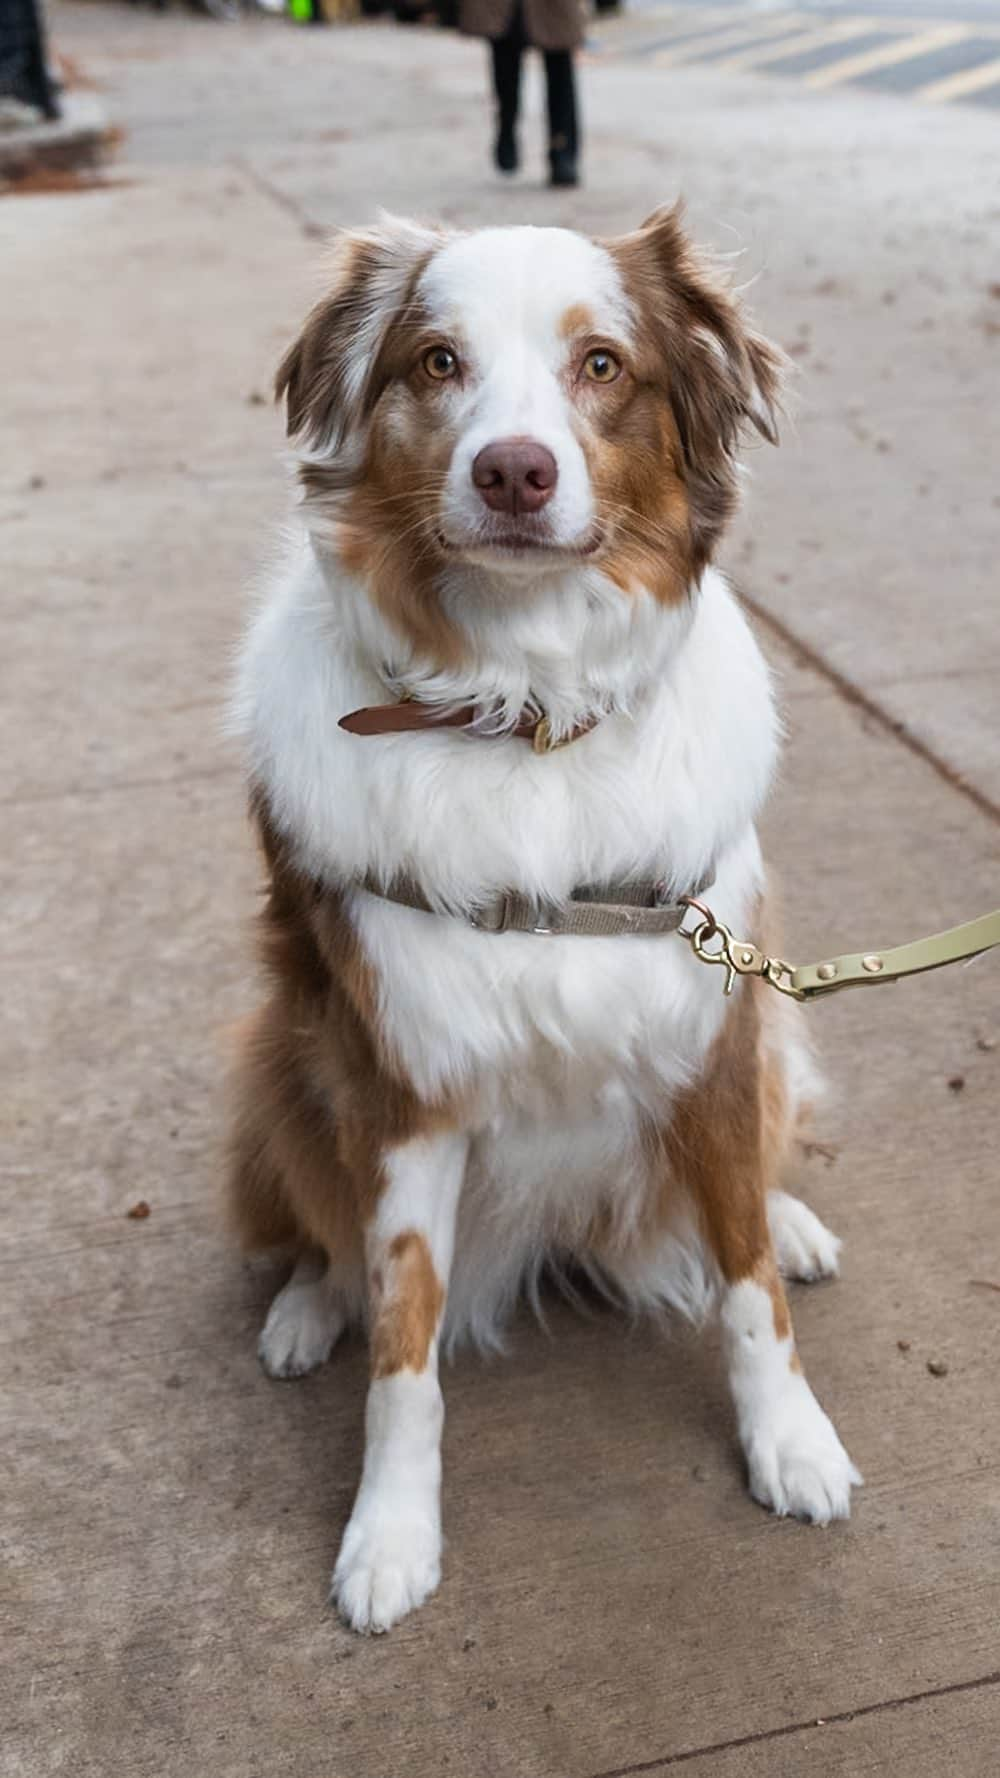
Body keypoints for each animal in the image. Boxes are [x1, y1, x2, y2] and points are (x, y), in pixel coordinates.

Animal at [227, 201, 857, 1628]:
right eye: (437, 362)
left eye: (602, 365)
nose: (513, 471)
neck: (526, 717)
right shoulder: (406, 1086)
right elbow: (403, 1345)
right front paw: (388, 1533)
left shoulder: (712, 1026)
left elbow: (746, 1287)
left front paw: (790, 1439)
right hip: (286, 1057)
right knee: (317, 1228)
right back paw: (302, 1309)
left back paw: (794, 1221)